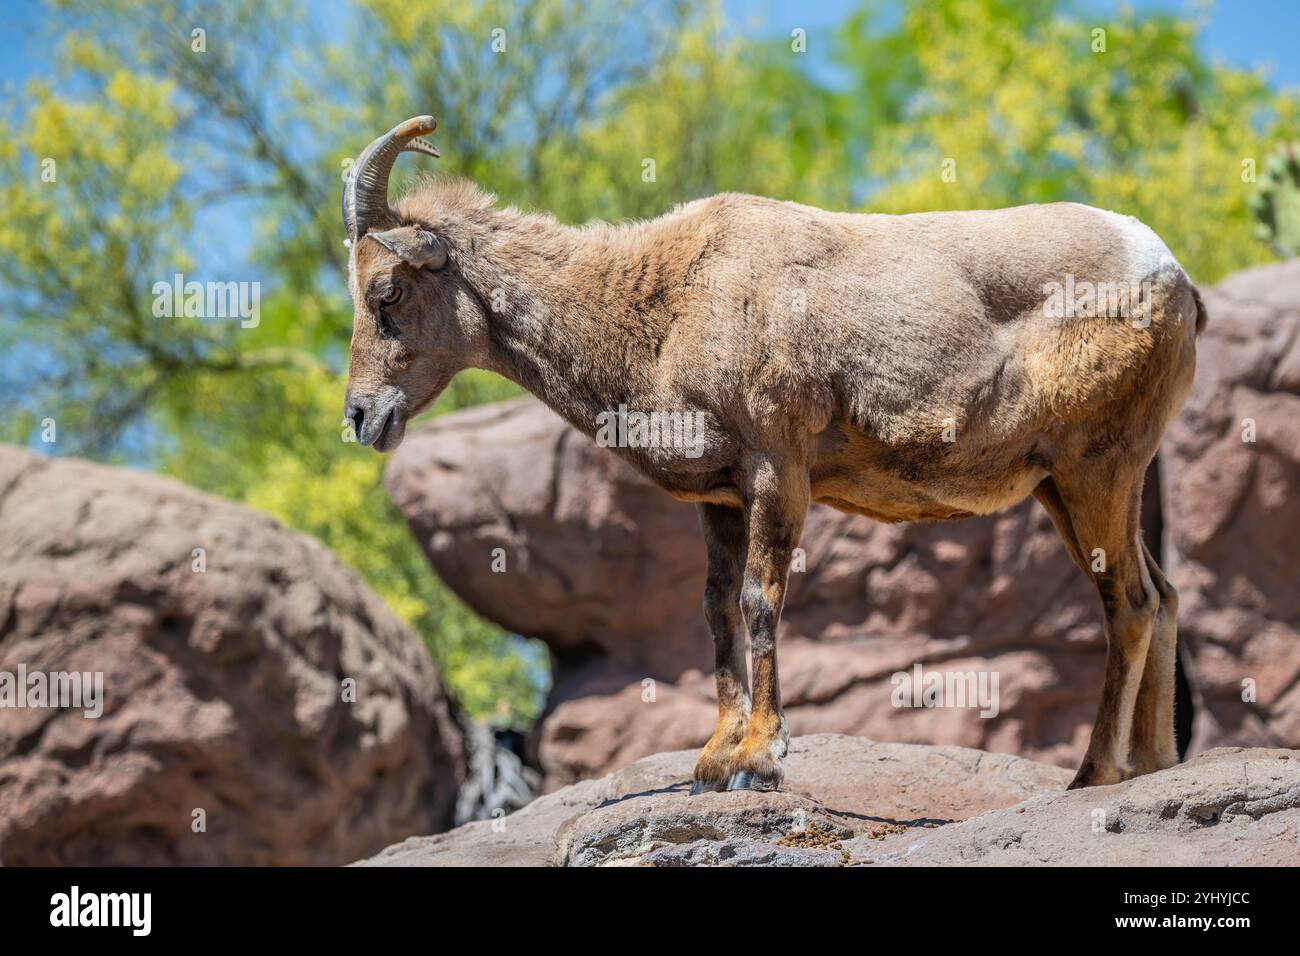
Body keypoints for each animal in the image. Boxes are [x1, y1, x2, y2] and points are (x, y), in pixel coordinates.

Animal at [340, 117, 1201, 790]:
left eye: (388, 294)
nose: (359, 416)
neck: (667, 302)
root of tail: (1173, 277)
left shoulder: (775, 473)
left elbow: (760, 601)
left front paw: (760, 758)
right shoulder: (722, 500)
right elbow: (717, 609)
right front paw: (715, 762)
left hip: (1097, 473)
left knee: (1130, 604)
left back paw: (1092, 775)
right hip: (1073, 487)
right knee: (1161, 597)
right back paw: (1152, 767)